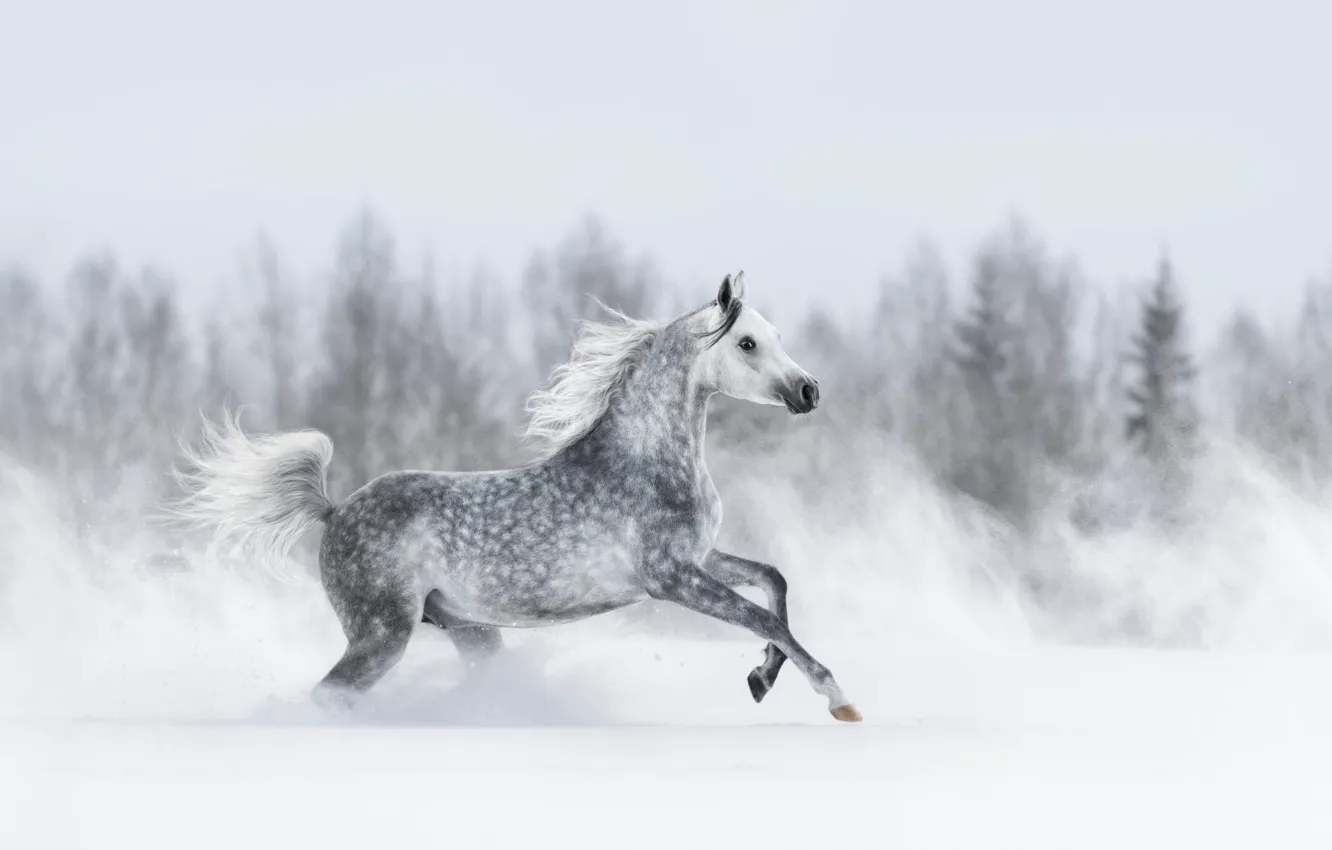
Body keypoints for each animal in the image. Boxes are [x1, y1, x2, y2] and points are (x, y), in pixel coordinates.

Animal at [171, 271, 861, 723]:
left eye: (775, 336)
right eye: (747, 344)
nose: (809, 391)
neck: (647, 460)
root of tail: (333, 510)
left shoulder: (701, 559)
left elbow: (774, 582)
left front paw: (760, 680)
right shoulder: (671, 578)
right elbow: (764, 615)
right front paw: (838, 699)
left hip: (469, 631)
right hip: (382, 633)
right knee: (329, 695)